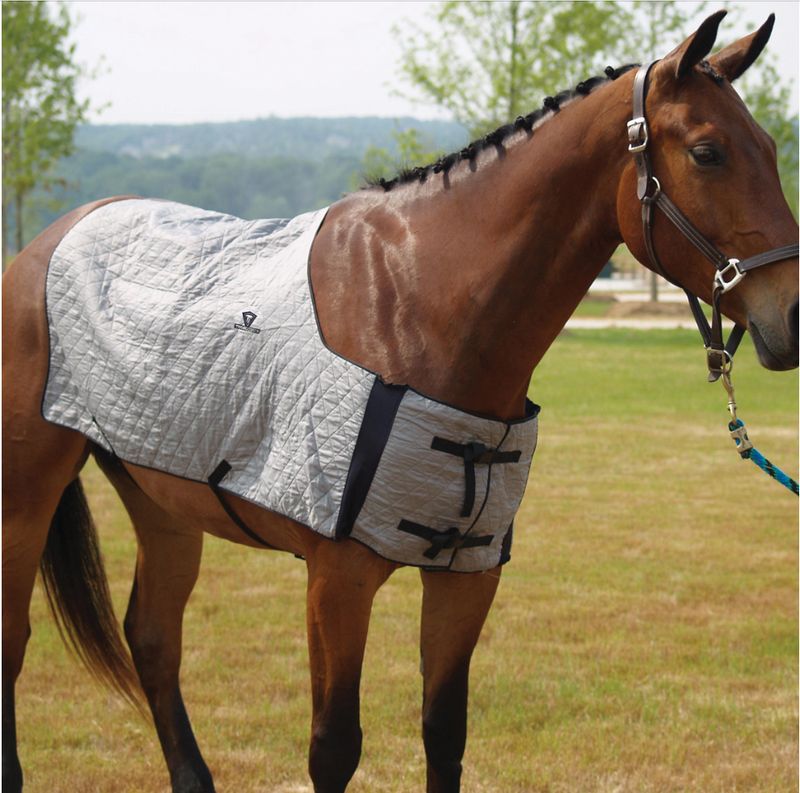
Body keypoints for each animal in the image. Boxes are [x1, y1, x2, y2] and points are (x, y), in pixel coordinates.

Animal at [3, 11, 797, 793]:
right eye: (708, 152)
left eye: (767, 146)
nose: (791, 314)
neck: (417, 303)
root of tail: (46, 242)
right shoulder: (337, 581)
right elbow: (334, 748)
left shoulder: (467, 576)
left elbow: (444, 733)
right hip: (28, 496)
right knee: (17, 638)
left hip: (163, 501)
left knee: (153, 635)